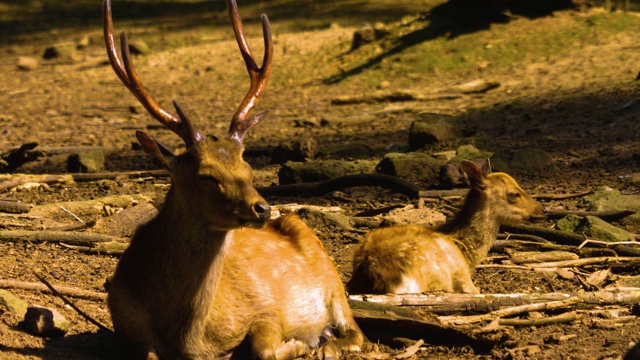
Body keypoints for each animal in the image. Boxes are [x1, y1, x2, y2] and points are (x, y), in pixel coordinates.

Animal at [104, 1, 364, 358]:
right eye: (206, 176)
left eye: (248, 168)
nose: (262, 209)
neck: (188, 338)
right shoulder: (124, 323)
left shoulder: (265, 309)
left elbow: (263, 346)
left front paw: (298, 342)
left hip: (332, 277)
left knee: (356, 330)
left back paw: (328, 343)